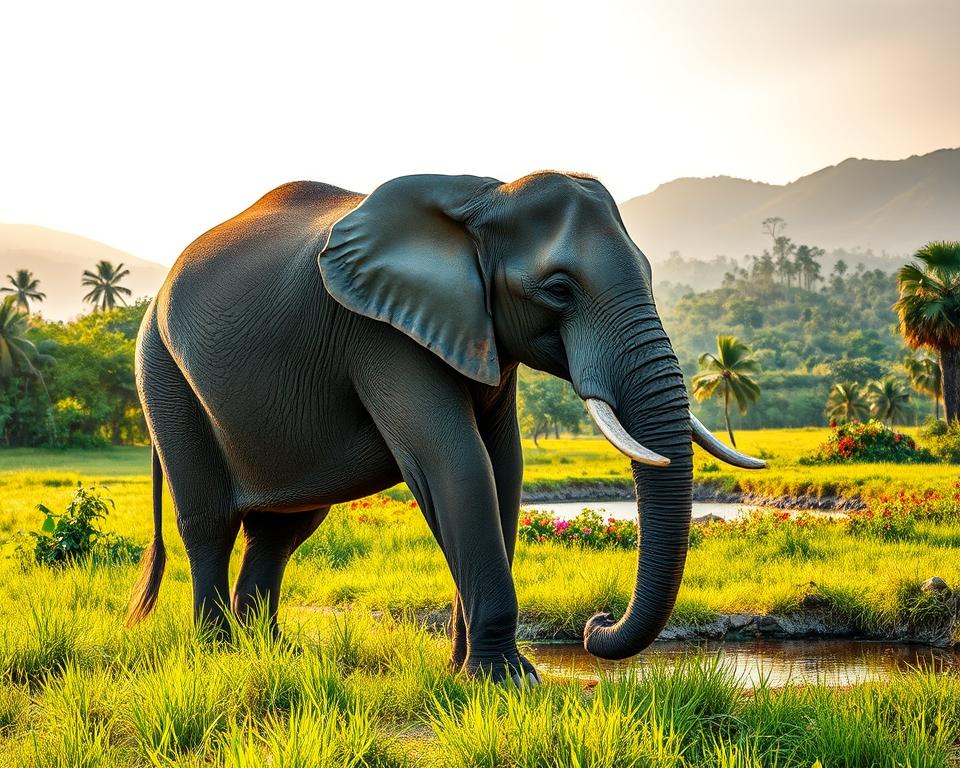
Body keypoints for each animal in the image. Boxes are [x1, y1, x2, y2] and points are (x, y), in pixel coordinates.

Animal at [125, 171, 763, 683]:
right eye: (559, 289)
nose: (595, 623)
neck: (484, 200)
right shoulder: (381, 334)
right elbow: (455, 463)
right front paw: (506, 683)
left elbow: (504, 470)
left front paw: (469, 673)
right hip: (161, 372)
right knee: (211, 522)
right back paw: (218, 654)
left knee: (282, 531)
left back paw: (272, 653)